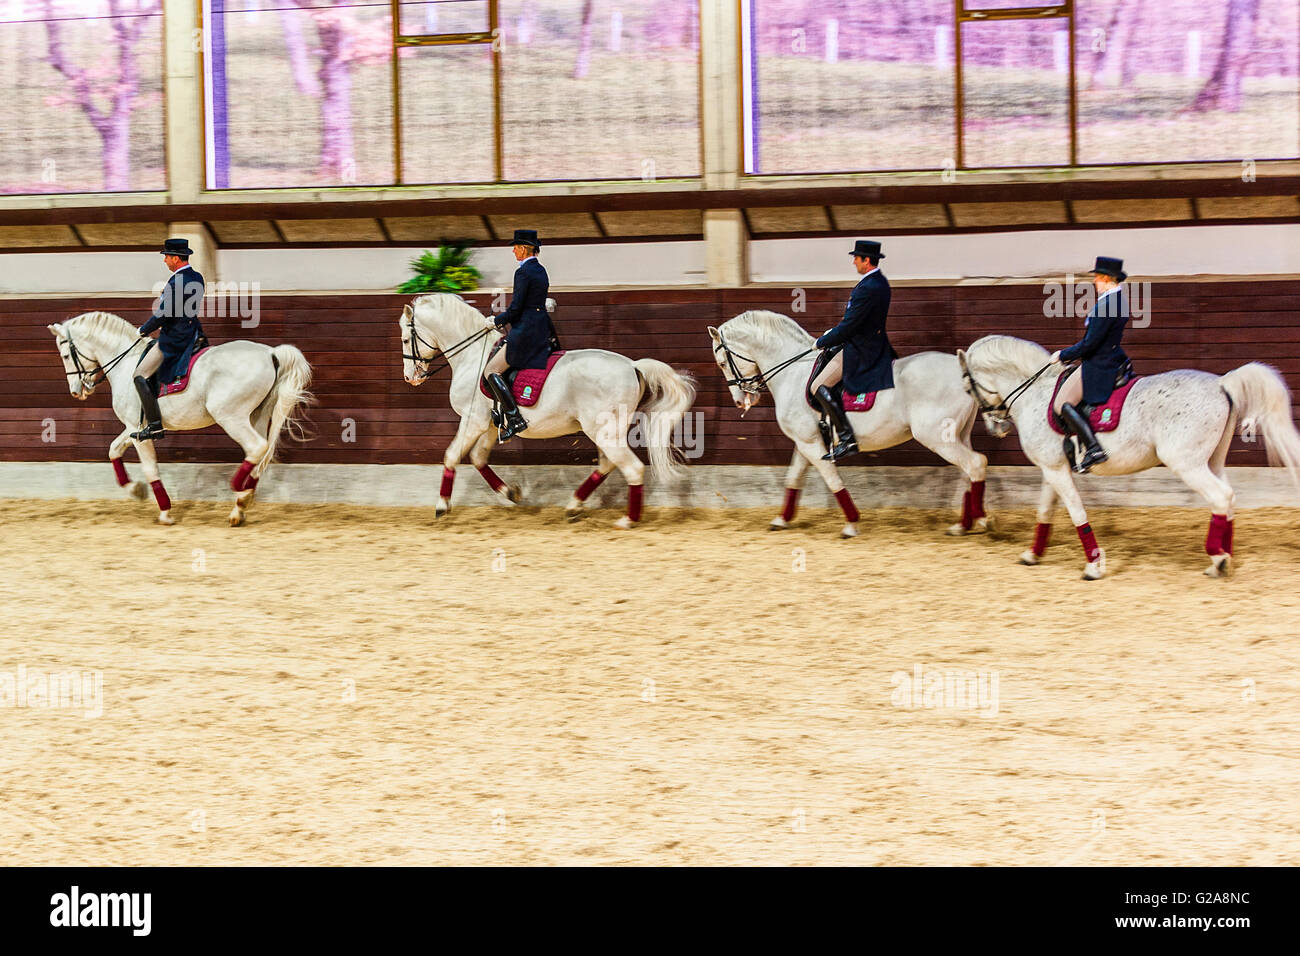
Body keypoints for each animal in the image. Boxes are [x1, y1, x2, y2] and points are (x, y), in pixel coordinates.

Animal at [48, 312, 314, 522]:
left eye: (65, 355)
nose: (77, 390)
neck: (125, 362)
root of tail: (270, 353)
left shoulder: (139, 431)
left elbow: (150, 468)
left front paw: (165, 512)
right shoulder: (135, 428)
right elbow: (113, 449)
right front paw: (135, 490)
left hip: (231, 416)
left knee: (256, 447)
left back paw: (240, 491)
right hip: (257, 415)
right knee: (261, 452)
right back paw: (241, 504)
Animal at [400, 293, 696, 528]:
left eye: (404, 339)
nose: (410, 378)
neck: (473, 357)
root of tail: (632, 365)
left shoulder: (473, 420)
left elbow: (451, 455)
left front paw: (442, 506)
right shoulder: (490, 424)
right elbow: (478, 458)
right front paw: (509, 493)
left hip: (604, 431)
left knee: (632, 469)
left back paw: (627, 520)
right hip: (606, 431)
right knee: (608, 464)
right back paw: (574, 506)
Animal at [707, 314, 987, 538]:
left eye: (722, 362)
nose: (741, 400)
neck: (792, 372)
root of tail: (964, 372)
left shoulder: (811, 444)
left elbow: (832, 480)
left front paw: (852, 523)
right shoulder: (805, 442)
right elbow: (794, 477)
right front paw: (781, 519)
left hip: (937, 437)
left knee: (976, 464)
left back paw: (981, 522)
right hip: (958, 435)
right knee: (969, 471)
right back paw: (964, 525)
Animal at [956, 332, 1300, 580]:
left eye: (968, 388)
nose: (996, 427)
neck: (1035, 394)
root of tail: (1221, 382)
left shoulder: (1055, 469)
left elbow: (1076, 512)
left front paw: (1094, 567)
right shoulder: (1051, 468)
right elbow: (1045, 511)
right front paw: (1033, 554)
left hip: (1186, 464)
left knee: (1220, 497)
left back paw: (1217, 558)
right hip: (1212, 461)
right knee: (1229, 498)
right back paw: (1224, 557)